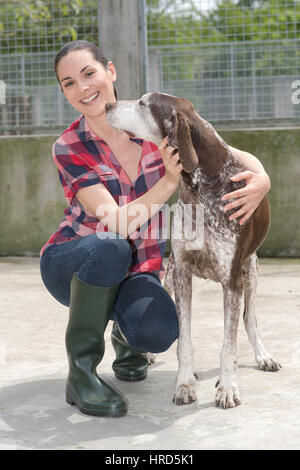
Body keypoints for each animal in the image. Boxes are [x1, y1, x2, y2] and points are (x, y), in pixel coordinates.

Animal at [106, 92, 282, 408]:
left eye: (143, 103)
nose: (107, 105)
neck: (201, 188)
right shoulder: (182, 273)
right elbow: (184, 340)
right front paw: (185, 383)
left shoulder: (232, 281)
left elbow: (228, 345)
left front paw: (227, 387)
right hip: (170, 274)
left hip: (251, 270)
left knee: (249, 319)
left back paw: (262, 356)